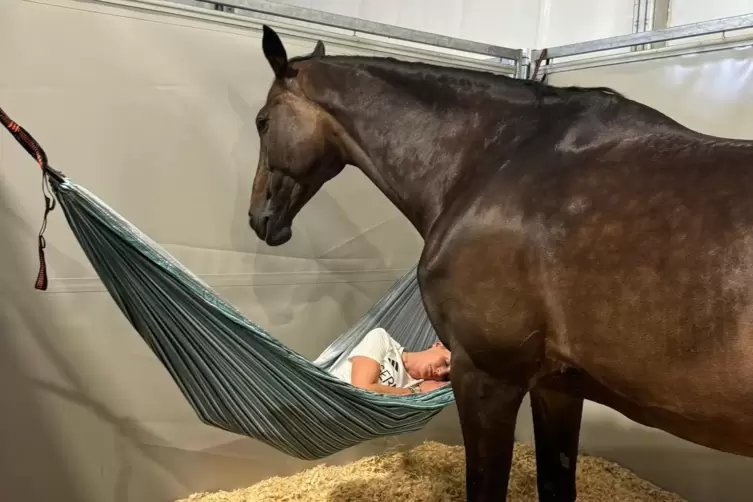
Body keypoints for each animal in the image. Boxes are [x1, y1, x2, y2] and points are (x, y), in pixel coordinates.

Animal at [248, 25, 752, 502]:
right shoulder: (558, 385)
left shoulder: (485, 376)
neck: (494, 162)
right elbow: (555, 483)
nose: (259, 218)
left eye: (262, 121)